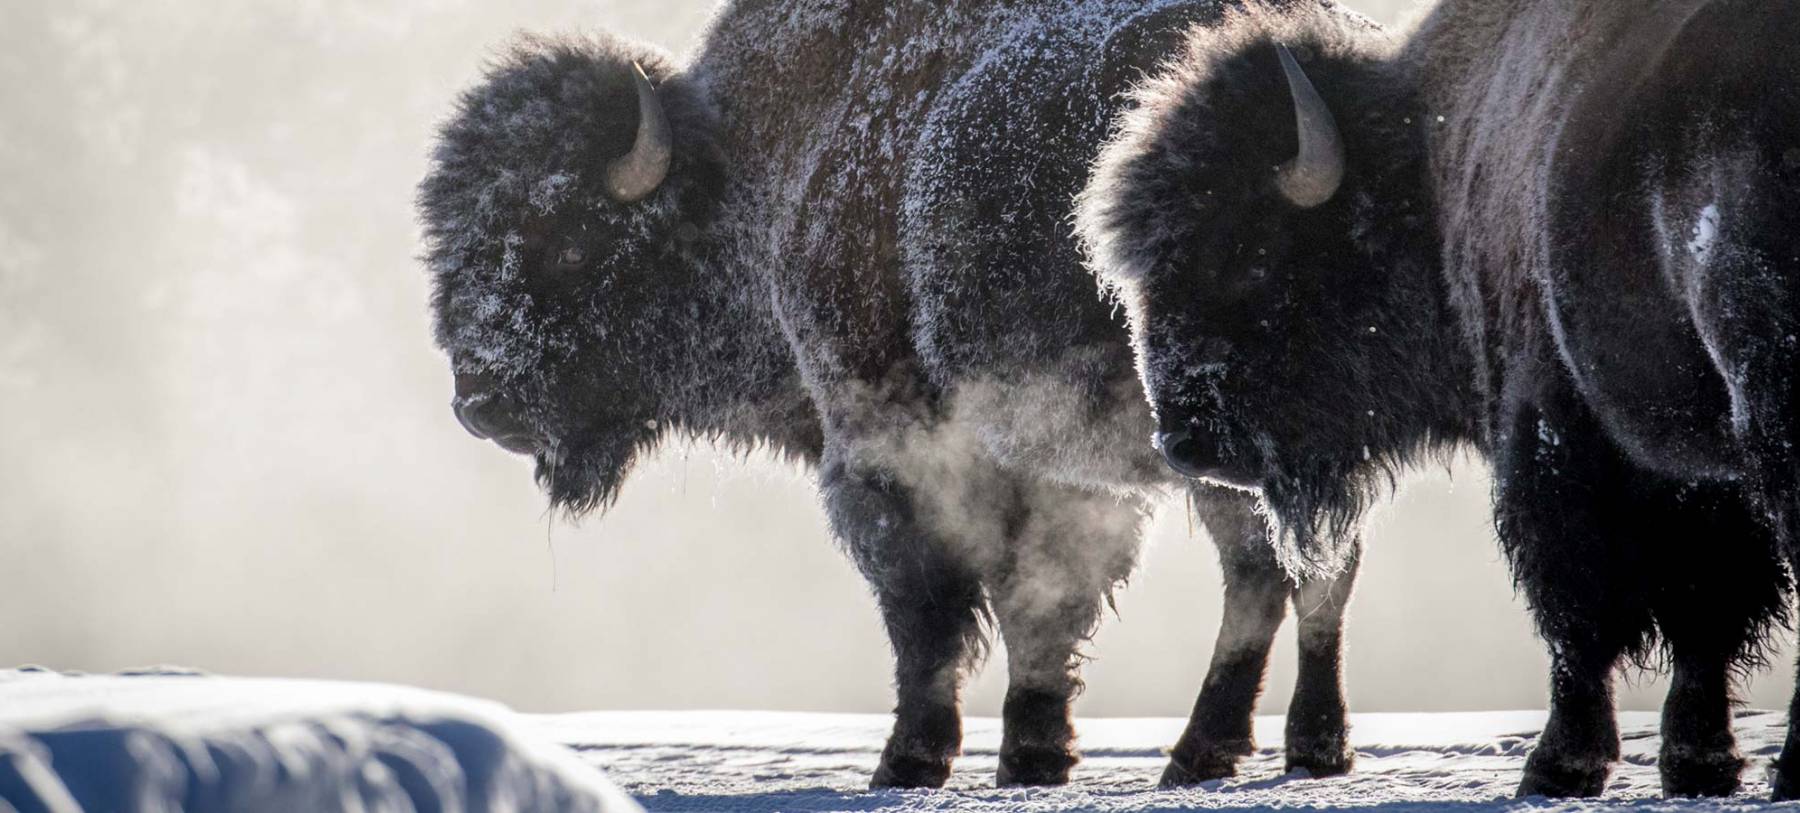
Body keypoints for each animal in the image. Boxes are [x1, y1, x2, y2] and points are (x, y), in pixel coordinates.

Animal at [417, 0, 1375, 791]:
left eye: (572, 242)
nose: (481, 402)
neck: (762, 172)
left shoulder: (903, 450)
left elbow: (947, 607)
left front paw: (919, 761)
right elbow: (1031, 601)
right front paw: (1032, 755)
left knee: (1275, 568)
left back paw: (1220, 749)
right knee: (1297, 566)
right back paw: (1294, 748)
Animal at [1072, 0, 1792, 798]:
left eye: (1250, 256)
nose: (1183, 440)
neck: (1428, 160)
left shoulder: (1553, 433)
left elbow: (1580, 610)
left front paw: (1557, 766)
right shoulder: (1694, 472)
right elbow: (1706, 612)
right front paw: (1700, 762)